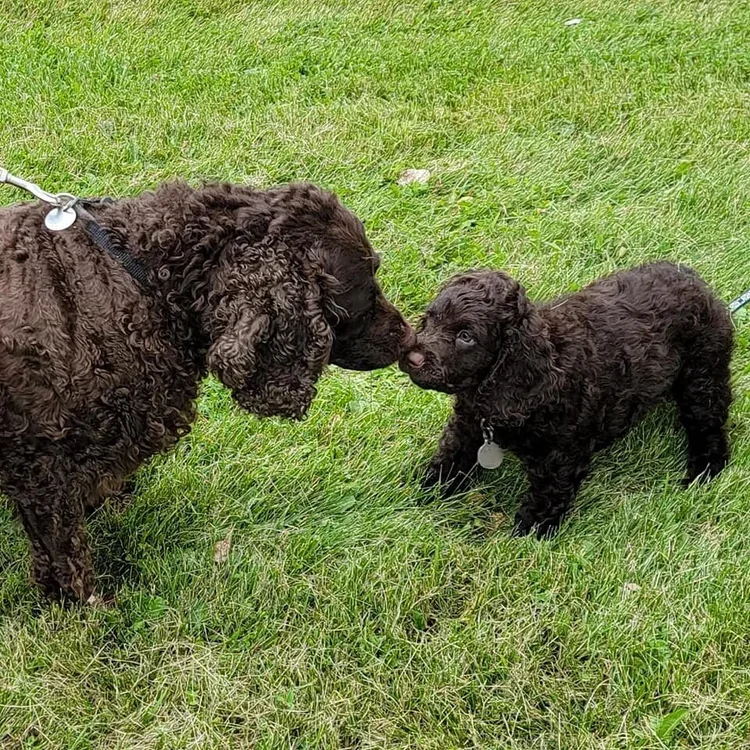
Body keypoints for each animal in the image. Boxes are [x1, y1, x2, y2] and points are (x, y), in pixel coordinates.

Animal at [0, 180, 414, 601]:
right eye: (364, 289)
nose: (409, 339)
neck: (148, 283)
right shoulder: (43, 473)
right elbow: (66, 559)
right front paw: (85, 606)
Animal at [401, 262, 732, 537]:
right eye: (428, 320)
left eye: (466, 336)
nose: (411, 357)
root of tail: (694, 280)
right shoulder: (468, 423)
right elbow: (450, 459)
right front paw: (424, 494)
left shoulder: (561, 453)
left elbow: (547, 495)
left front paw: (528, 536)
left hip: (703, 373)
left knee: (708, 423)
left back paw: (704, 469)